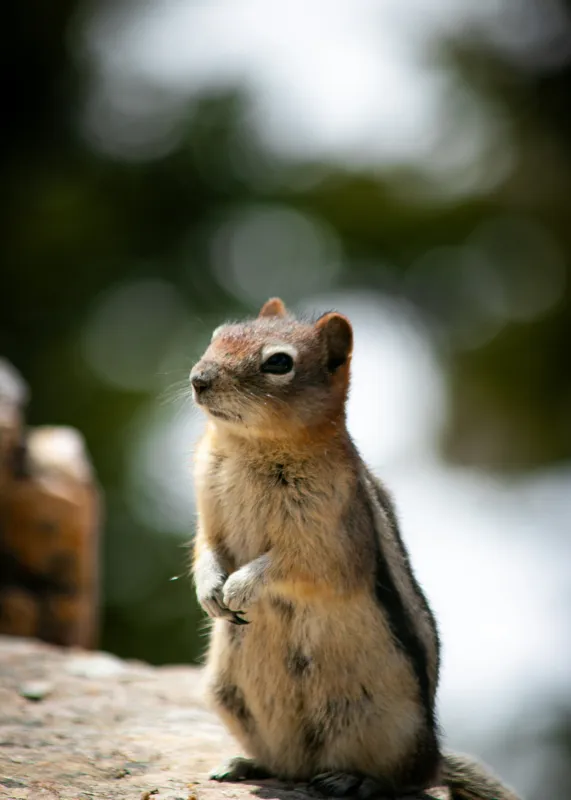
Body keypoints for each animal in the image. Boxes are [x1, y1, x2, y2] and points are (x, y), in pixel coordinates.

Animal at [190, 298, 520, 800]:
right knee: (286, 766)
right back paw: (245, 763)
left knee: (401, 780)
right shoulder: (208, 514)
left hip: (379, 723)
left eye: (279, 363)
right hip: (228, 696)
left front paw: (242, 585)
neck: (251, 447)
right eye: (217, 335)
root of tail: (435, 759)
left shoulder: (329, 537)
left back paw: (353, 779)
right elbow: (206, 550)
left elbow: (298, 566)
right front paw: (210, 589)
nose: (198, 378)